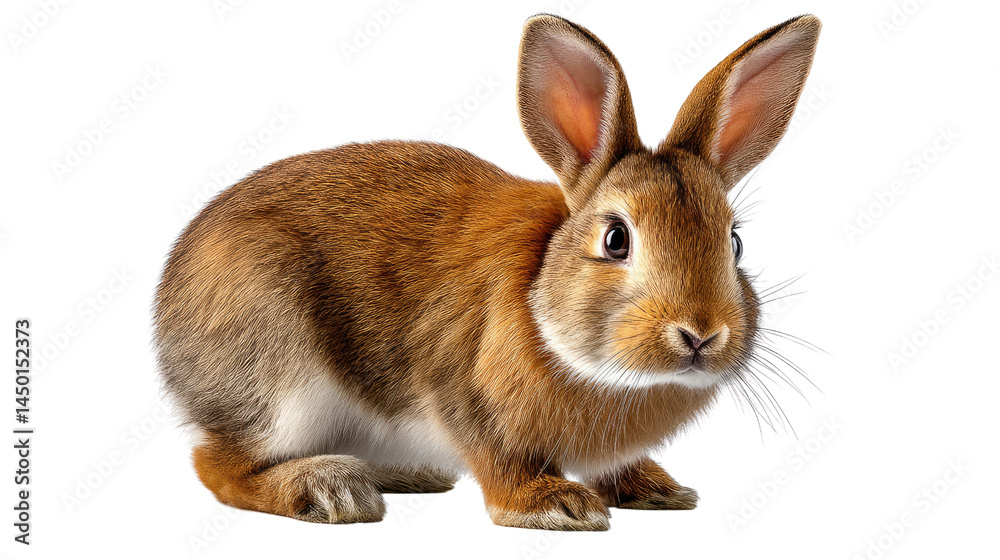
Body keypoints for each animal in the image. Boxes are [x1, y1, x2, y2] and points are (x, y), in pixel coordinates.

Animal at [153, 13, 820, 531]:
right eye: (616, 239)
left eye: (734, 242)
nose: (702, 335)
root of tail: (168, 311)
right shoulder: (464, 395)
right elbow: (497, 460)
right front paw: (555, 505)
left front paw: (657, 490)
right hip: (278, 373)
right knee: (218, 466)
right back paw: (328, 490)